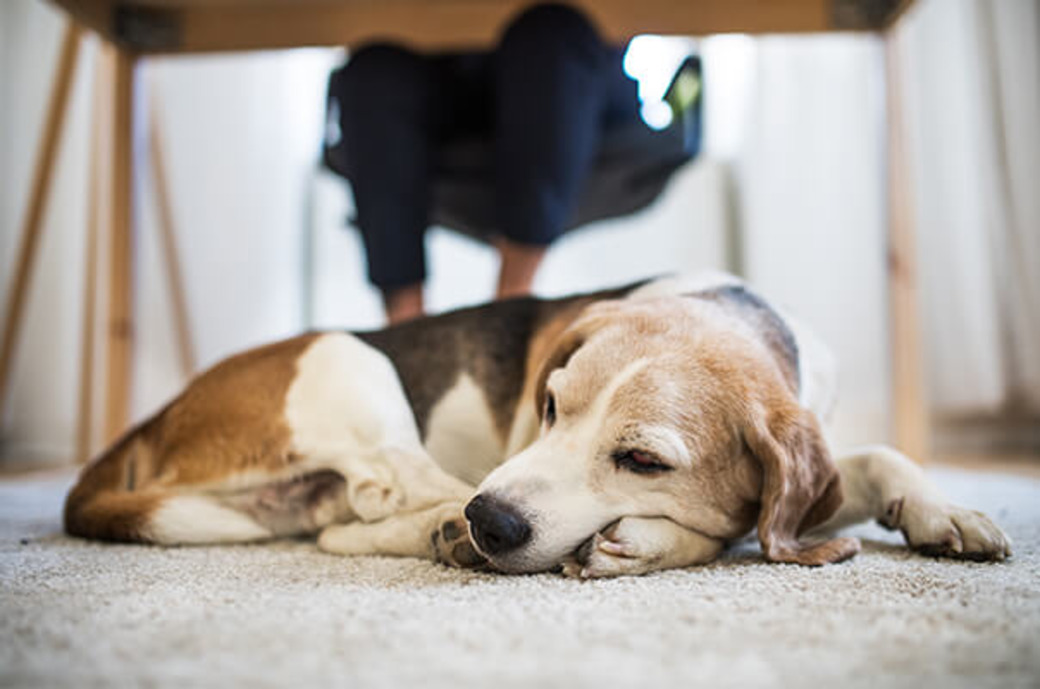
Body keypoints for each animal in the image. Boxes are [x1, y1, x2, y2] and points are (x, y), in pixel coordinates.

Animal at [62, 274, 1006, 578]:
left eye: (642, 458)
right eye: (550, 404)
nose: (492, 522)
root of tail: (164, 411)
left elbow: (880, 456)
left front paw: (947, 513)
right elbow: (732, 529)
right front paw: (652, 540)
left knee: (346, 525)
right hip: (352, 362)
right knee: (388, 494)